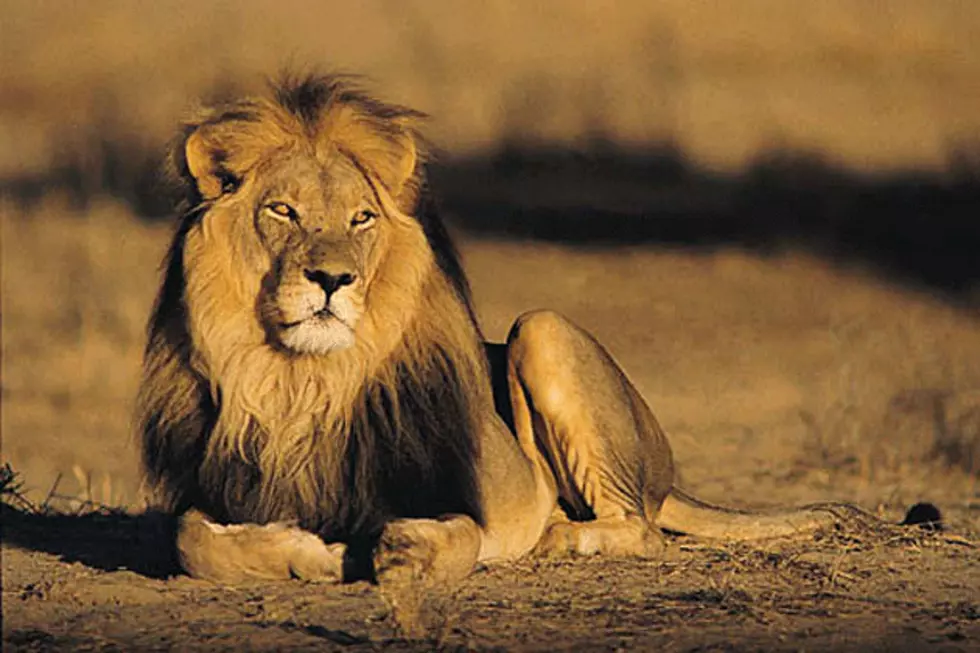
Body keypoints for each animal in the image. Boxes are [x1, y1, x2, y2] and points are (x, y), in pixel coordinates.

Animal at [138, 75, 928, 596]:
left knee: (639, 527)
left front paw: (392, 555)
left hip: (542, 330)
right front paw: (309, 550)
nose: (333, 279)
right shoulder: (218, 490)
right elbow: (192, 541)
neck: (305, 378)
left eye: (361, 218)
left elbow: (444, 539)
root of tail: (665, 469)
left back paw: (557, 534)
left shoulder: (455, 499)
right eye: (282, 210)